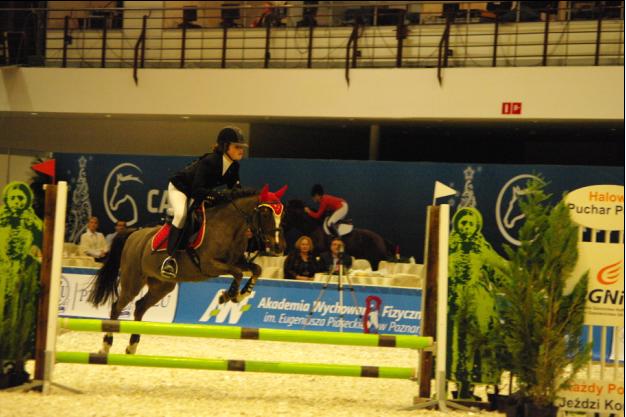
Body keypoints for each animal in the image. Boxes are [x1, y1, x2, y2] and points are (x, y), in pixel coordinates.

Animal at [88, 185, 287, 354]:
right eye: (265, 212)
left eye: (282, 214)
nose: (278, 247)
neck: (228, 226)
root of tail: (134, 234)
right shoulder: (209, 264)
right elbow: (237, 273)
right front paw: (227, 296)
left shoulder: (238, 261)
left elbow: (256, 269)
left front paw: (241, 294)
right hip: (133, 281)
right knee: (117, 307)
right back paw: (106, 345)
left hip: (162, 285)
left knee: (140, 307)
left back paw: (132, 345)